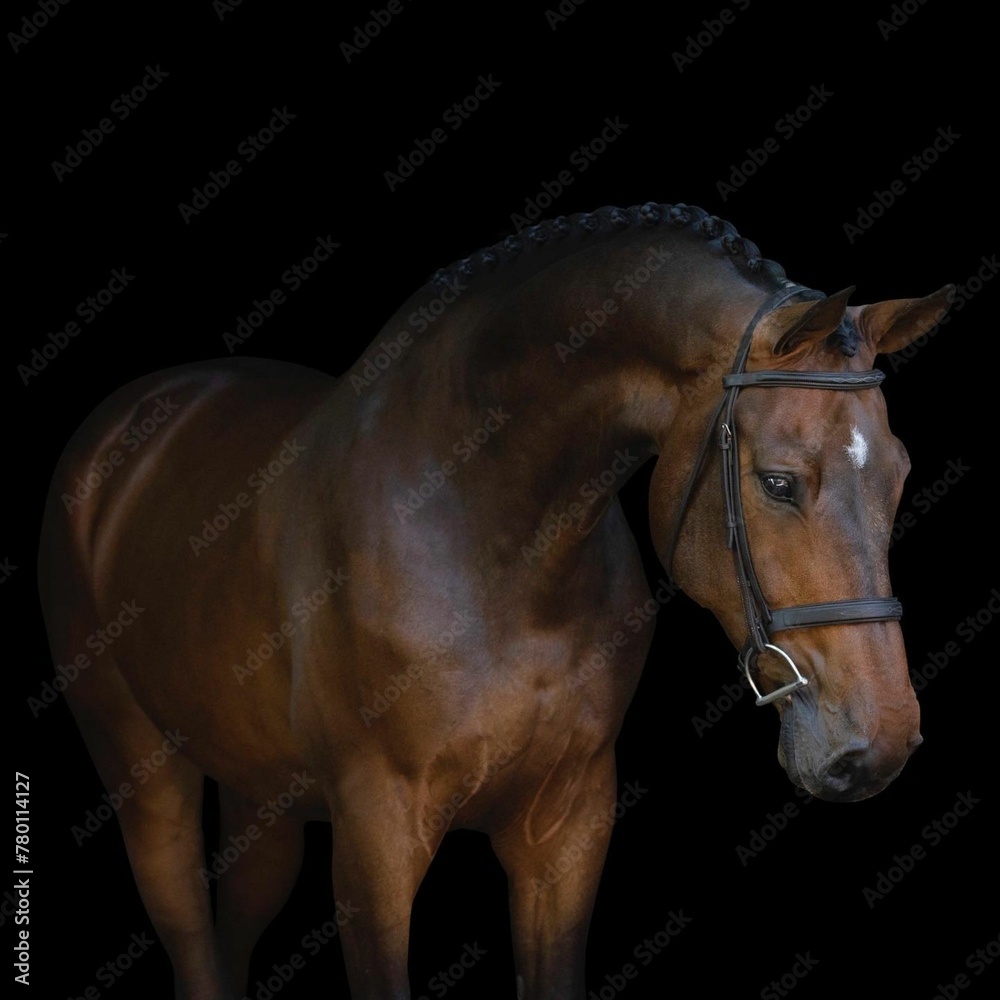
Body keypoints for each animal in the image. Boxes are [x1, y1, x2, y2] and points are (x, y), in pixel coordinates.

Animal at [38, 201, 953, 999]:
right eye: (778, 481)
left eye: (901, 475)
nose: (878, 743)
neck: (485, 536)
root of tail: (128, 422)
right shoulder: (374, 841)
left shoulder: (566, 830)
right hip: (141, 767)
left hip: (261, 794)